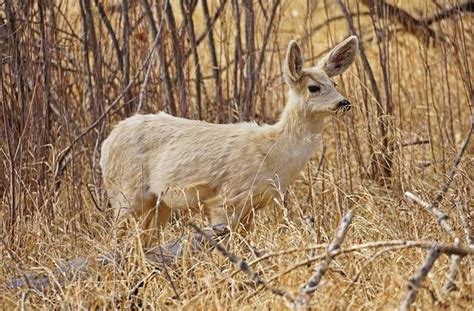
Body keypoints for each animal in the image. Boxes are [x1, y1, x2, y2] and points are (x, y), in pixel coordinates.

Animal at [101, 36, 360, 246]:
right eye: (313, 88)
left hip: (158, 203)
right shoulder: (226, 199)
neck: (273, 152)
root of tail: (107, 143)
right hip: (125, 193)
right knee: (116, 236)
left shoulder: (252, 207)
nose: (344, 102)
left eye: (334, 83)